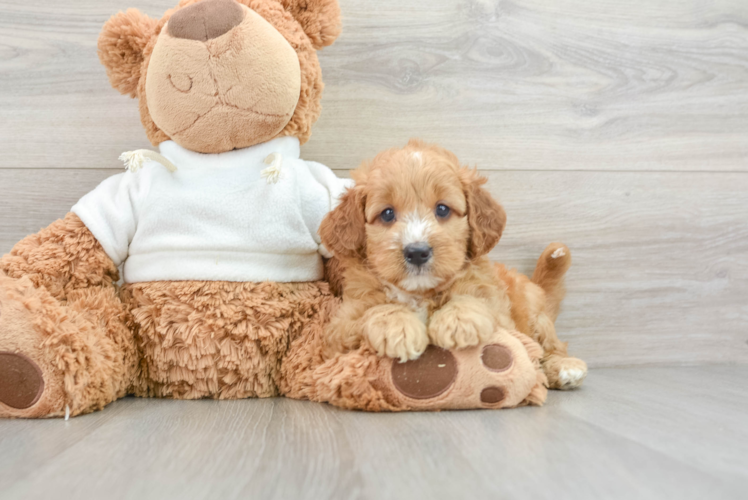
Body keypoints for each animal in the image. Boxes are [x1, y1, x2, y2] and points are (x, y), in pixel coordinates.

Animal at [318, 139, 588, 388]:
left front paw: (459, 320)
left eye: (442, 209)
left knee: (550, 346)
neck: (420, 294)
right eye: (387, 214)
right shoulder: (337, 333)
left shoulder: (502, 317)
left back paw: (564, 367)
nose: (417, 252)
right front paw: (397, 327)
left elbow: (478, 301)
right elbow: (372, 313)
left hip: (533, 312)